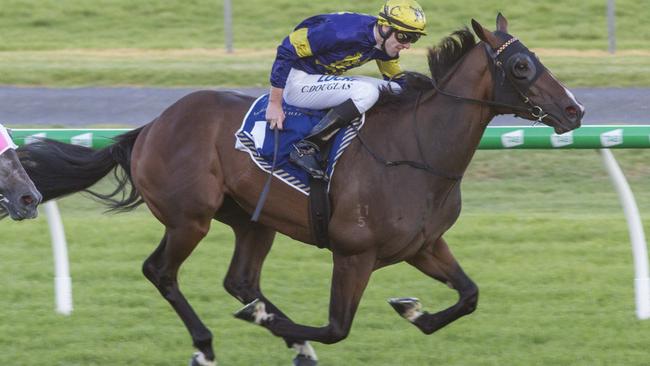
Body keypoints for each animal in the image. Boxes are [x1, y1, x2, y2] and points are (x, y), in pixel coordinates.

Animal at [15, 15, 584, 366]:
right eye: (521, 66)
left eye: (535, 57)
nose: (575, 110)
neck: (417, 148)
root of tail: (152, 126)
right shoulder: (354, 254)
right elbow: (335, 328)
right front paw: (283, 327)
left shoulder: (423, 245)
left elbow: (468, 296)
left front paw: (412, 310)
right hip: (189, 218)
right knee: (161, 271)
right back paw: (207, 343)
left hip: (252, 219)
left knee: (241, 280)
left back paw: (267, 319)